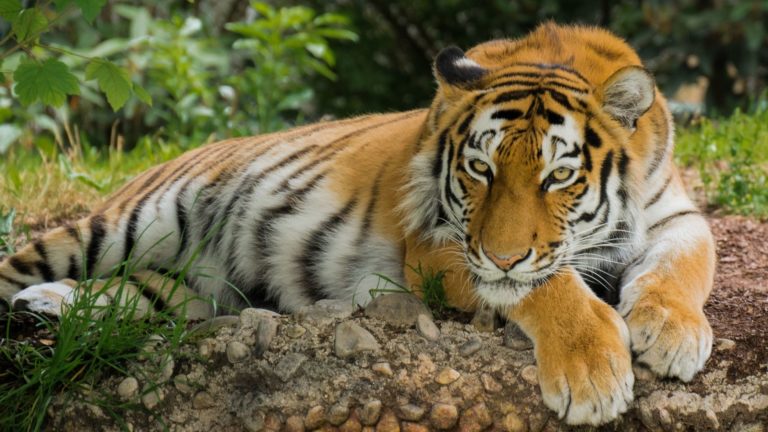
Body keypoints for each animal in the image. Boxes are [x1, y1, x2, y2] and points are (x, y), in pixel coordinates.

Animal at [0, 23, 715, 425]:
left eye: (558, 177)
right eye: (480, 169)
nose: (503, 255)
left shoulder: (676, 212)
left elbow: (685, 264)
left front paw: (672, 332)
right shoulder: (437, 243)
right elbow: (549, 284)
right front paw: (593, 372)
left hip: (189, 289)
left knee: (139, 296)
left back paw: (50, 306)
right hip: (119, 225)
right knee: (19, 266)